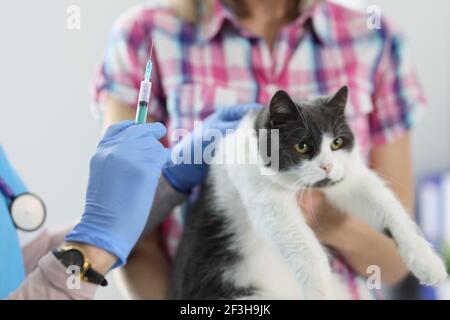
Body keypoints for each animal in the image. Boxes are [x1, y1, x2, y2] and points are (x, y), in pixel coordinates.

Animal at [169, 85, 446, 300]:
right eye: (301, 146)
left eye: (337, 143)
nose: (327, 166)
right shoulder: (261, 191)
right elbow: (304, 248)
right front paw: (320, 293)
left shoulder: (350, 177)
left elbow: (387, 207)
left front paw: (428, 261)